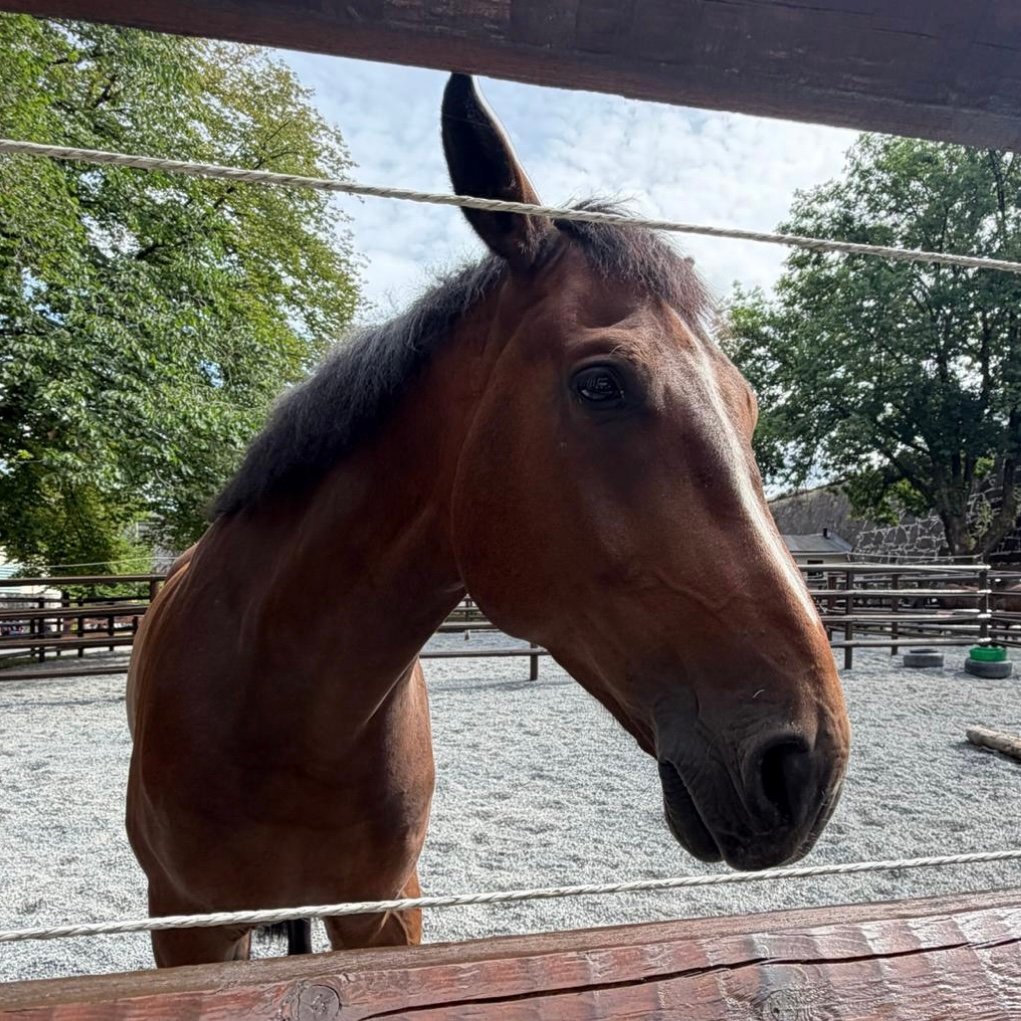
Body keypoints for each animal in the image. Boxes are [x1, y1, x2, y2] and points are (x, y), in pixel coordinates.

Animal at [126, 73, 850, 967]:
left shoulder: (385, 912)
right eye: (600, 383)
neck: (274, 707)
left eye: (745, 404)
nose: (806, 764)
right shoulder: (189, 929)